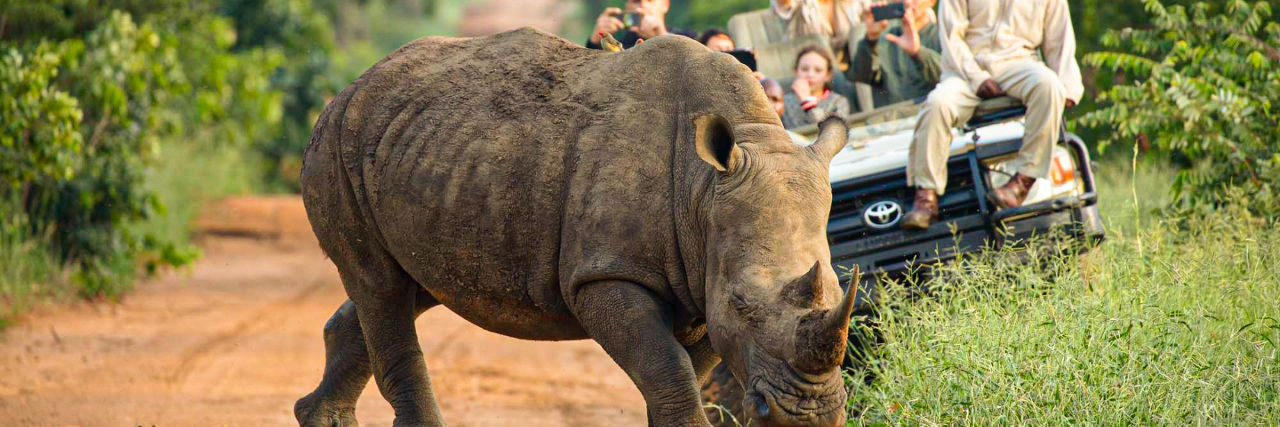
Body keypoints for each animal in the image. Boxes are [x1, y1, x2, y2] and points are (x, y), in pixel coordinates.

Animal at [295, 28, 855, 427]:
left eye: (837, 287)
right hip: (336, 147)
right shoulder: (607, 272)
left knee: (404, 287)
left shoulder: (700, 279)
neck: (703, 189)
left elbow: (681, 378)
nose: (807, 414)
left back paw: (318, 416)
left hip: (426, 149)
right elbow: (669, 374)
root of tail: (347, 89)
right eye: (741, 303)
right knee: (380, 288)